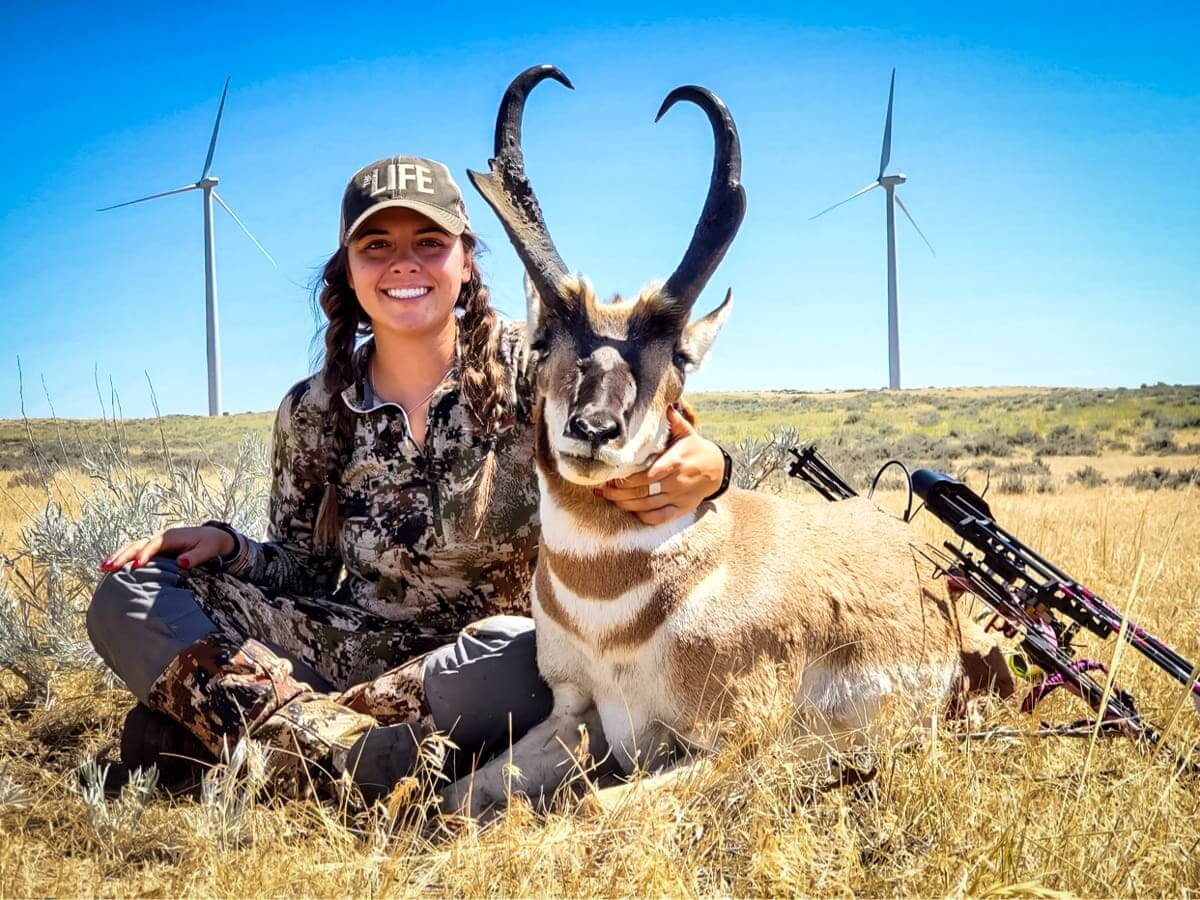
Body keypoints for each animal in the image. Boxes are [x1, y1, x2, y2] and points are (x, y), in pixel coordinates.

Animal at [439, 66, 1003, 820]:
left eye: (677, 356)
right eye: (544, 340)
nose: (593, 430)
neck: (611, 613)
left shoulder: (733, 746)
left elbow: (589, 807)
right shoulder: (573, 714)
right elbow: (457, 794)